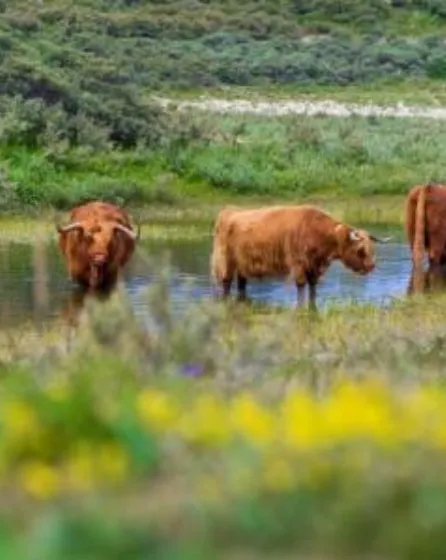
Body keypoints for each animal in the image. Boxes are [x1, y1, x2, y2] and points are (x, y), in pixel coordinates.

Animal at [211, 203, 388, 306]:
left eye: (372, 248)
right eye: (361, 250)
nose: (371, 266)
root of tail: (229, 211)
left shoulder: (314, 267)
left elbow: (313, 288)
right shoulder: (298, 264)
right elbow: (301, 286)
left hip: (243, 264)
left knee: (241, 284)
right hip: (226, 261)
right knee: (226, 282)